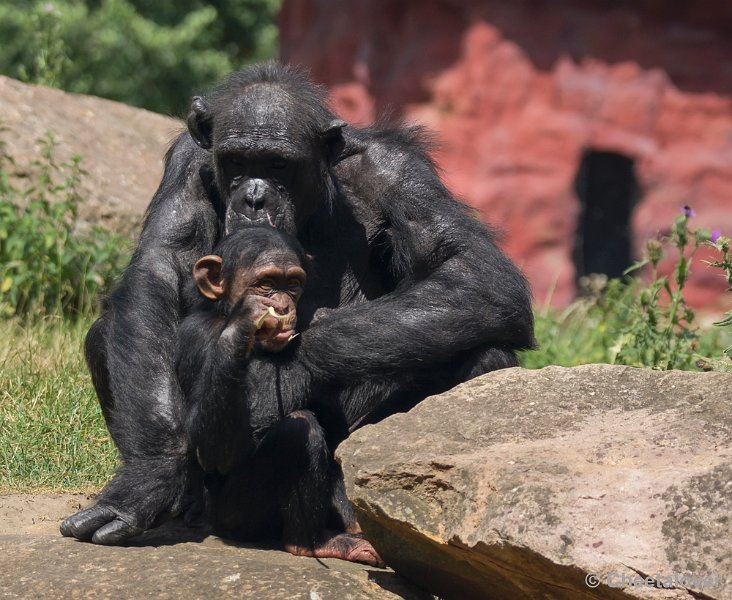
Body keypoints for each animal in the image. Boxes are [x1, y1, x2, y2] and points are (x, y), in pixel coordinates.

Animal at [177, 226, 384, 568]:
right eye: (266, 285)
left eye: (293, 285)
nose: (284, 306)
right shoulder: (197, 338)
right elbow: (212, 452)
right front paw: (245, 322)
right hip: (234, 517)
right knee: (299, 429)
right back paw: (312, 543)